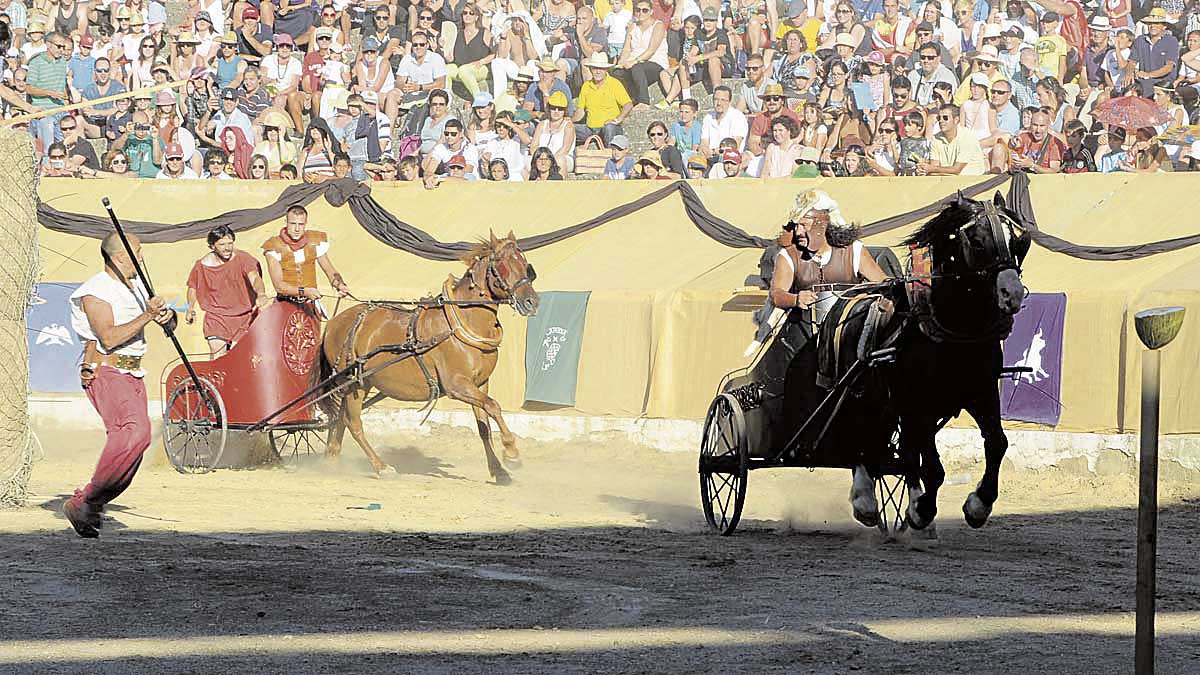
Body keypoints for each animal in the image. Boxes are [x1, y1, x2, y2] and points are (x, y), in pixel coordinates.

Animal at [321, 230, 542, 478]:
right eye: (502, 264)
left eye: (525, 263)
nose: (531, 302)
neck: (463, 322)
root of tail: (334, 322)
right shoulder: (457, 385)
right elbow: (494, 406)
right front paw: (511, 452)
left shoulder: (480, 384)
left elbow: (484, 424)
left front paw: (498, 469)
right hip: (352, 383)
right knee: (353, 423)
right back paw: (381, 466)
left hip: (361, 382)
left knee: (340, 419)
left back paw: (332, 458)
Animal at [892, 189, 1032, 530]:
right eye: (978, 242)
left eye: (1019, 240)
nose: (1012, 294)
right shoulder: (919, 404)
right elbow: (932, 467)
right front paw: (922, 508)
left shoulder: (981, 391)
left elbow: (997, 442)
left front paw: (979, 504)